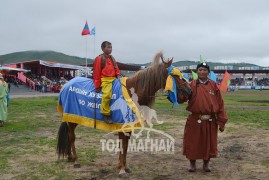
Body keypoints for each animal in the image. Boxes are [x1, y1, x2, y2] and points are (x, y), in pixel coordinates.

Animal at [56, 51, 191, 176]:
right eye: (175, 75)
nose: (189, 91)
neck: (133, 91)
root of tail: (65, 86)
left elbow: (125, 147)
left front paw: (124, 167)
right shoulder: (123, 126)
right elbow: (123, 146)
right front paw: (121, 169)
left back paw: (70, 157)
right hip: (72, 119)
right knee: (71, 137)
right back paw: (76, 160)